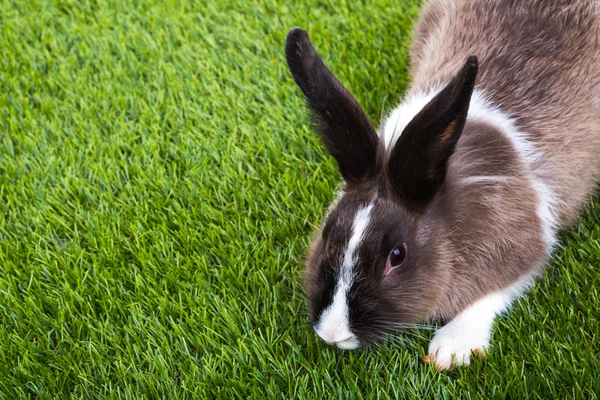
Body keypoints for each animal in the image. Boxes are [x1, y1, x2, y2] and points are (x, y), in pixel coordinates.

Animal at [284, 0, 600, 370]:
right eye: (327, 233)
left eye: (397, 256)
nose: (333, 334)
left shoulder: (528, 242)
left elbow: (492, 293)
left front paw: (451, 349)